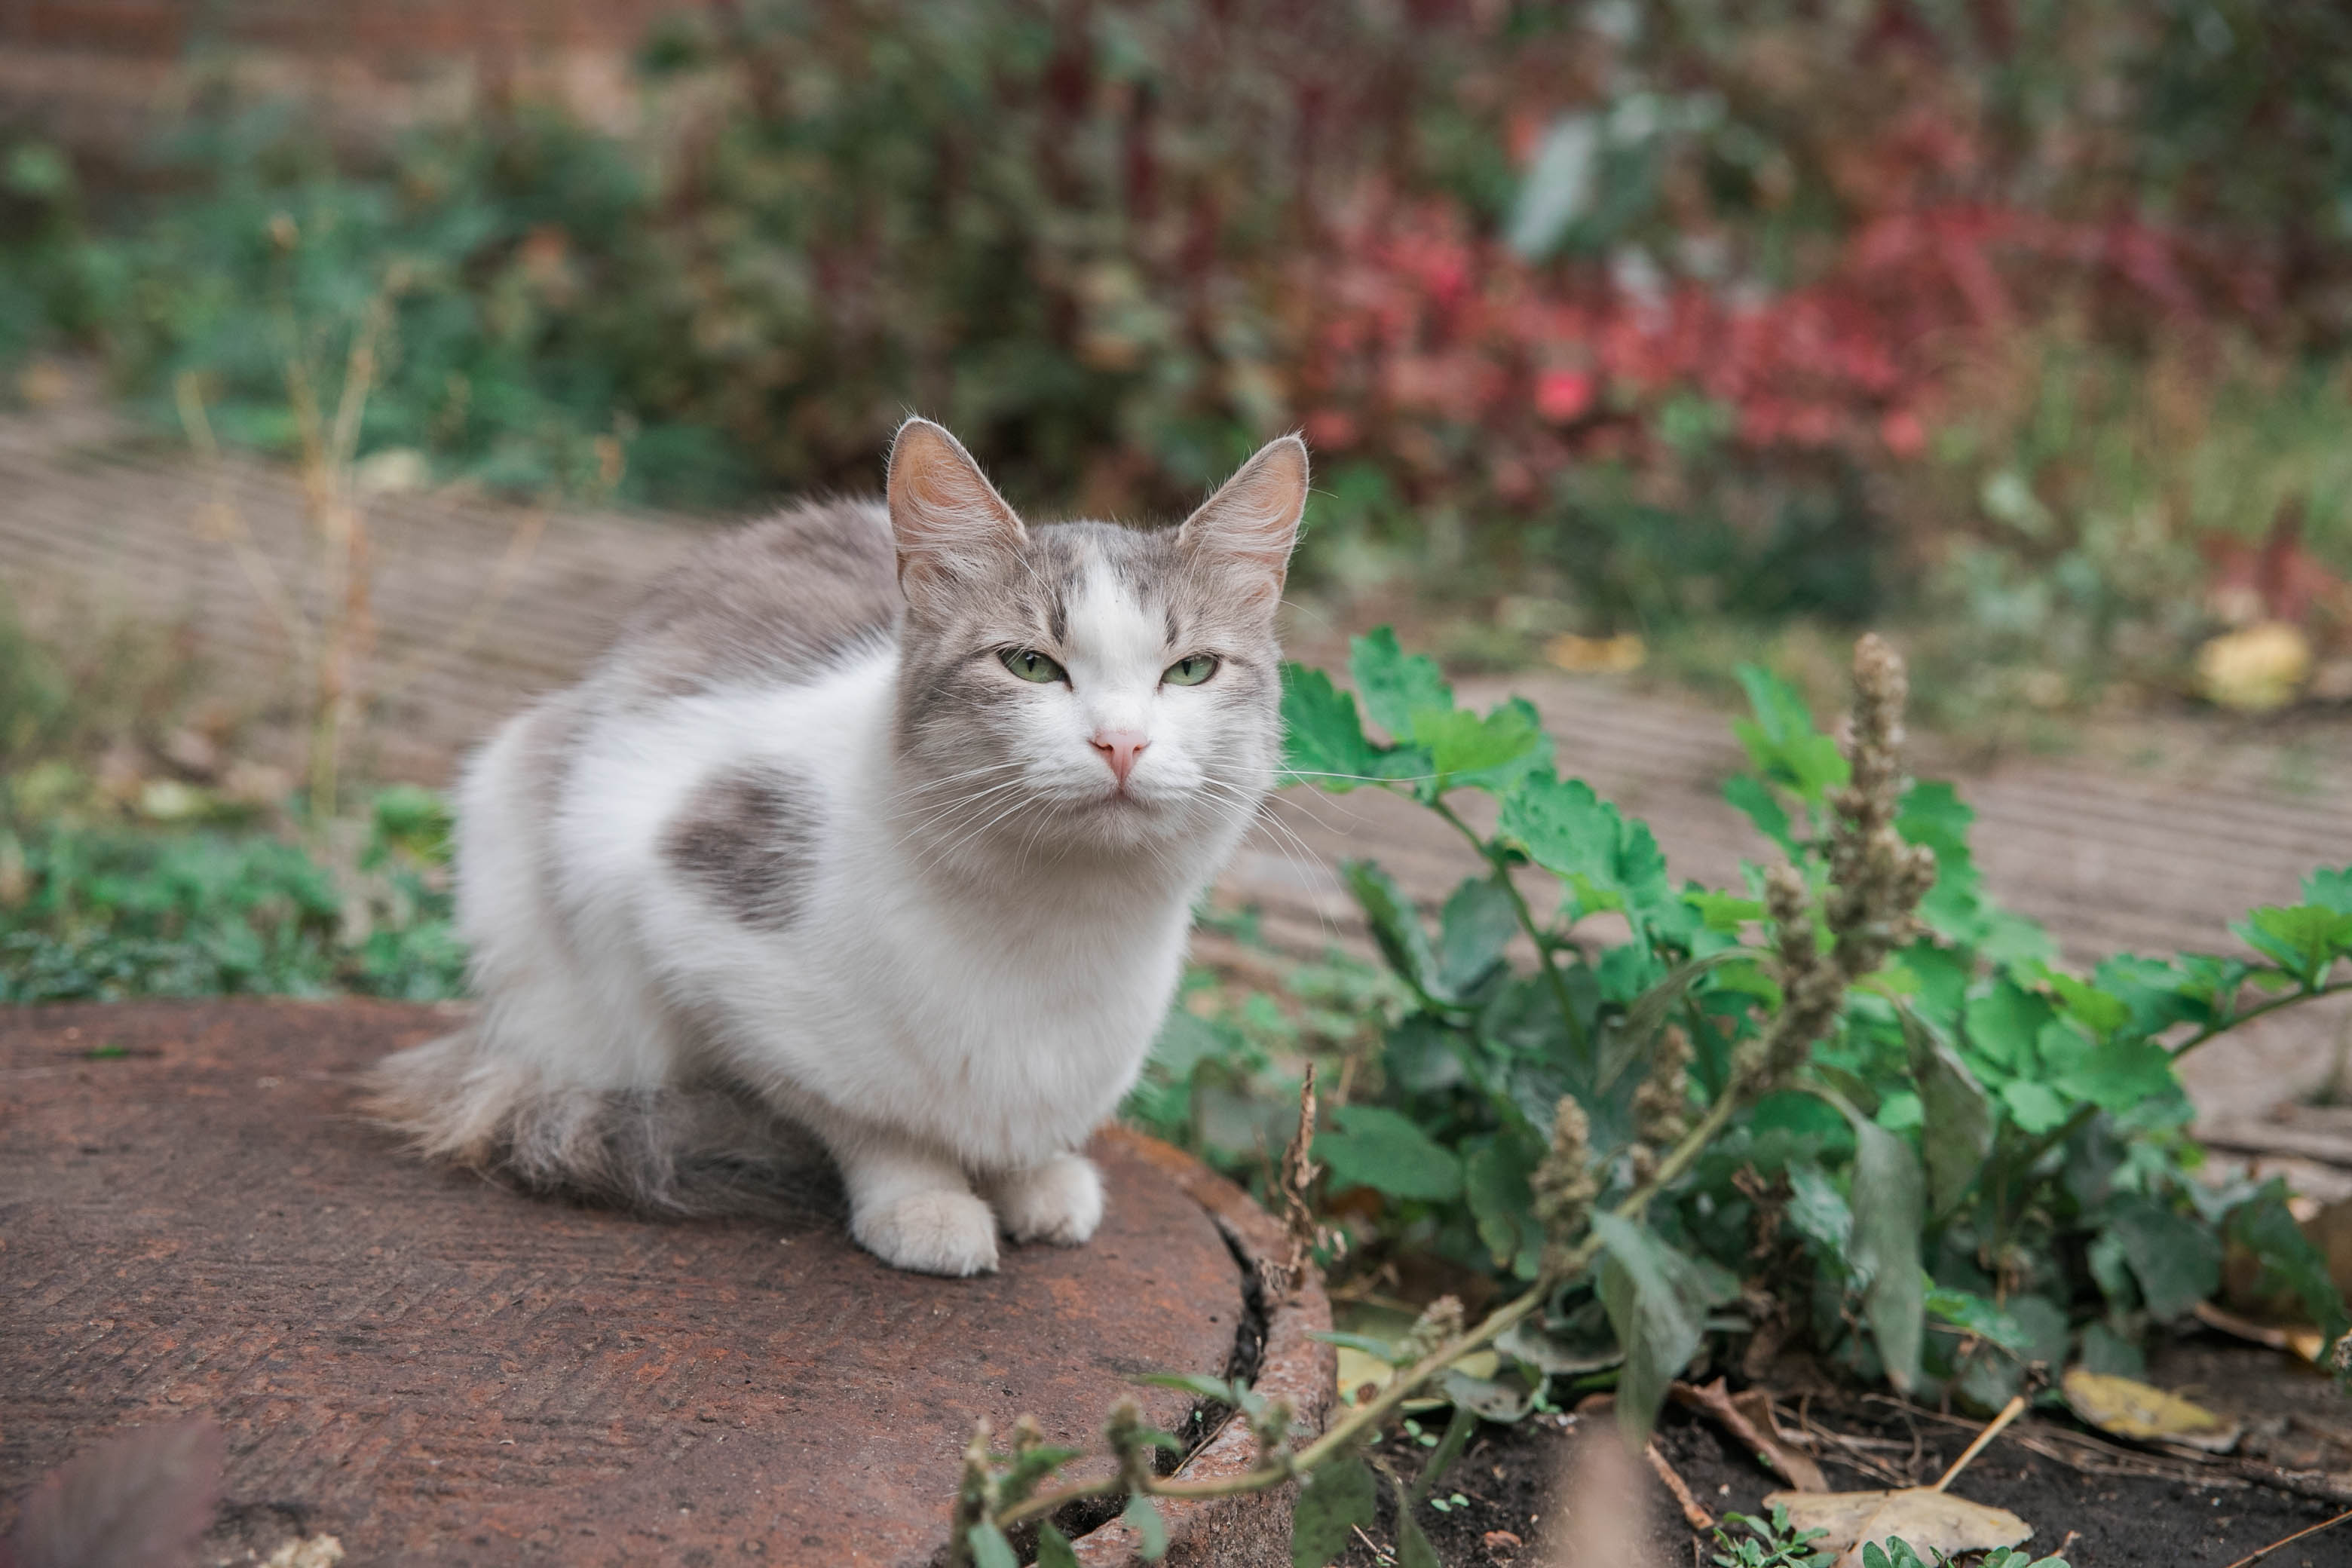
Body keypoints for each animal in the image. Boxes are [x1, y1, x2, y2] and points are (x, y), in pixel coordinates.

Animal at [366, 415, 1307, 1279]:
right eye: (1032, 666)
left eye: (1190, 671)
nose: (1122, 742)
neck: (1064, 920)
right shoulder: (687, 921)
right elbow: (870, 1118)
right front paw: (927, 1203)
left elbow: (1024, 1131)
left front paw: (1035, 1177)